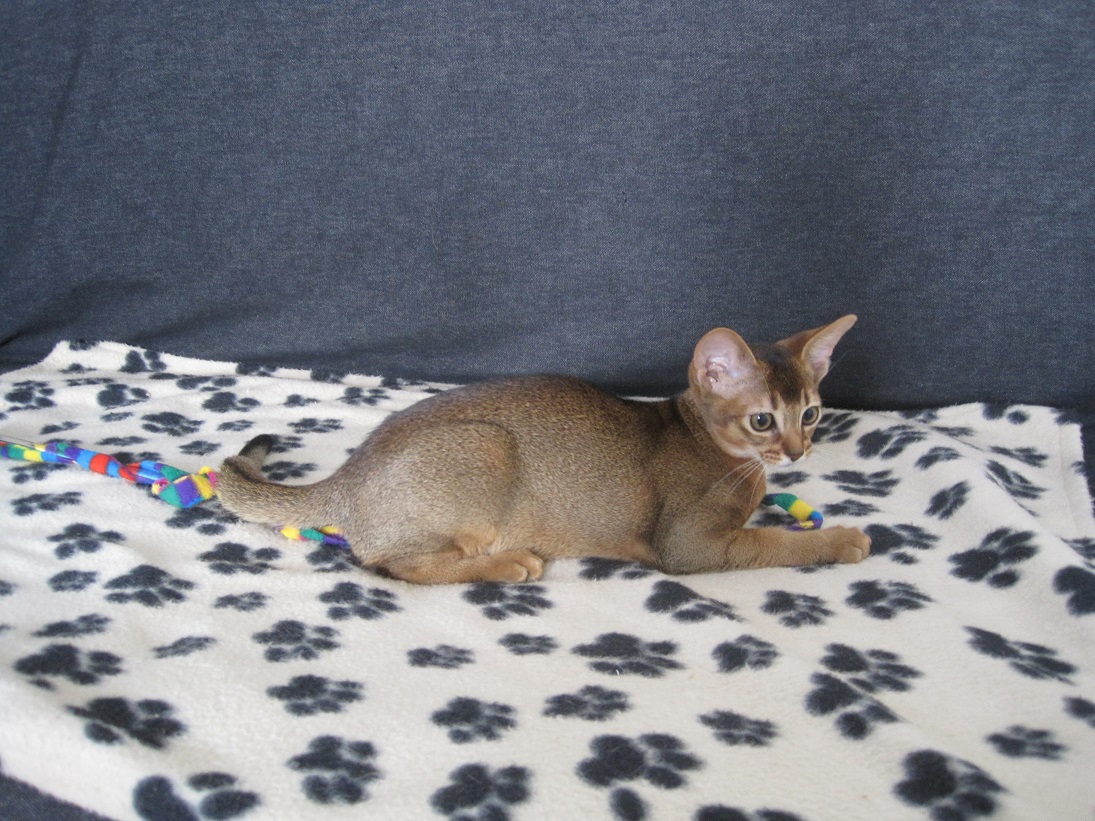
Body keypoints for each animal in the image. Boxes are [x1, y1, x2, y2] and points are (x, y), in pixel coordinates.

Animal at [216, 315, 870, 584]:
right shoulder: (692, 545)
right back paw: (507, 563)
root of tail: (347, 476)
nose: (797, 452)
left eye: (811, 413)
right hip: (487, 446)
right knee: (395, 565)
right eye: (762, 420)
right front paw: (842, 540)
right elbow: (776, 543)